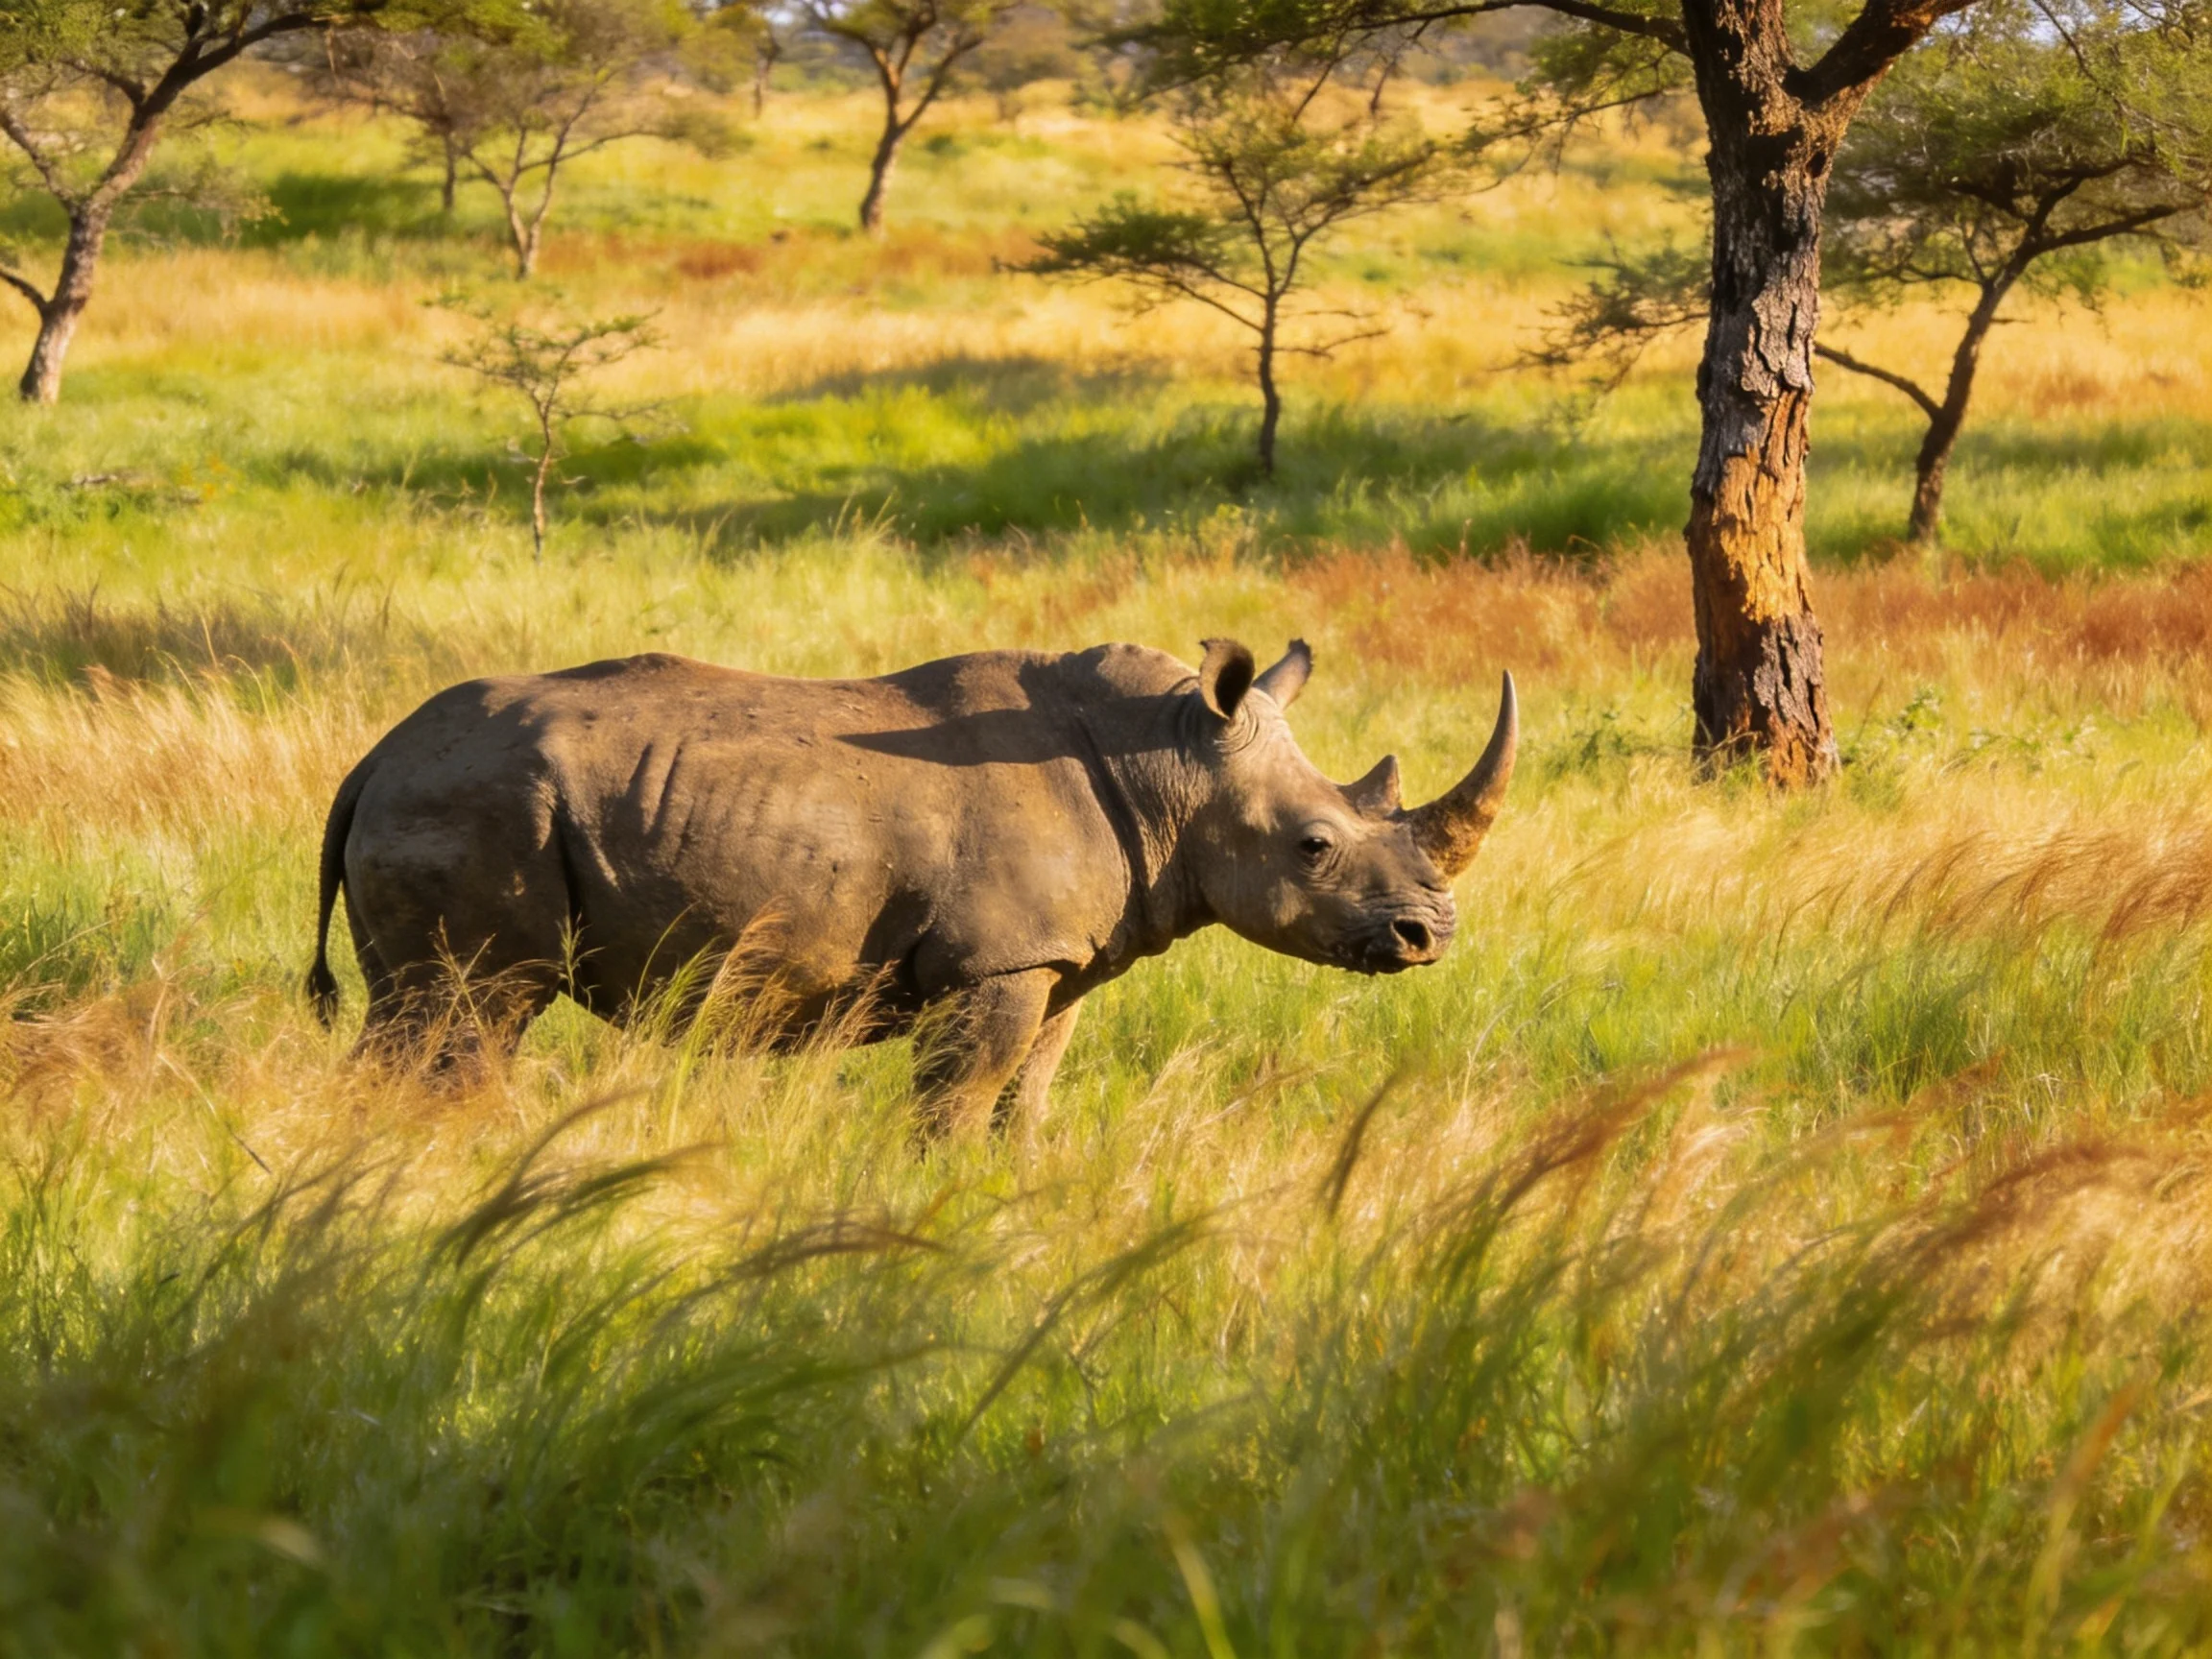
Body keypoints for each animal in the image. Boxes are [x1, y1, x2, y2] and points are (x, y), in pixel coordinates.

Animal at [306, 637, 1515, 1135]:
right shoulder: (995, 959)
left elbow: (1025, 1101)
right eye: (1314, 846)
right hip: (473, 803)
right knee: (472, 1011)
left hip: (455, 796)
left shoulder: (1056, 962)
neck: (1169, 761)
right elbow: (959, 1099)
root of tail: (371, 759)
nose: (1428, 936)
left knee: (422, 1021)